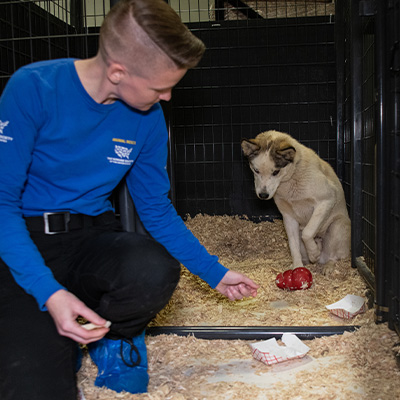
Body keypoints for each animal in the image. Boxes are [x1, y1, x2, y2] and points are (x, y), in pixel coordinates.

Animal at [241, 130, 350, 274]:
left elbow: (308, 232)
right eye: (256, 170)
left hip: (336, 227)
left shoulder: (326, 200)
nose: (263, 195)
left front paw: (314, 253)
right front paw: (297, 266)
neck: (292, 176)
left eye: (276, 172)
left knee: (334, 256)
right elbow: (293, 247)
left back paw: (327, 266)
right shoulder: (289, 218)